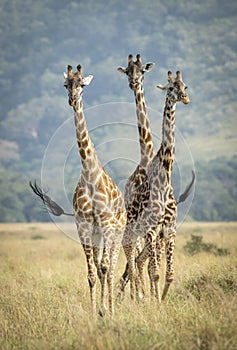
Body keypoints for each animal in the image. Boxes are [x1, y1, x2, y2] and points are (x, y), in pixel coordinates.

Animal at [31, 64, 128, 316]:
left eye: (82, 84)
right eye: (66, 84)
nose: (72, 99)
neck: (90, 174)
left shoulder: (105, 224)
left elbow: (104, 268)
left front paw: (106, 310)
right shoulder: (83, 225)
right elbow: (92, 272)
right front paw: (95, 312)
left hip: (117, 232)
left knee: (111, 267)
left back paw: (111, 307)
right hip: (97, 233)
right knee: (101, 267)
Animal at [123, 69, 190, 300]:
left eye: (185, 86)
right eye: (170, 87)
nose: (185, 98)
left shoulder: (168, 229)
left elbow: (168, 274)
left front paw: (159, 300)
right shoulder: (152, 231)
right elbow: (155, 272)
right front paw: (153, 301)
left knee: (137, 262)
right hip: (132, 233)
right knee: (132, 261)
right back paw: (135, 296)